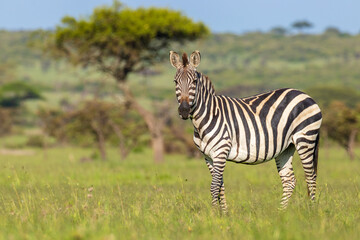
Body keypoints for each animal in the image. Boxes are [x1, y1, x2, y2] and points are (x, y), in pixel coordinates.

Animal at [170, 50, 322, 212]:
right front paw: (224, 213)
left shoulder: (221, 151)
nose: (184, 111)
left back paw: (312, 210)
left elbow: (214, 186)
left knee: (310, 176)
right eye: (175, 82)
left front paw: (213, 213)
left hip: (305, 138)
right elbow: (220, 186)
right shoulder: (208, 156)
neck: (207, 116)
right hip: (286, 147)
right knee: (289, 180)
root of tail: (305, 95)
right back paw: (281, 212)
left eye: (194, 82)